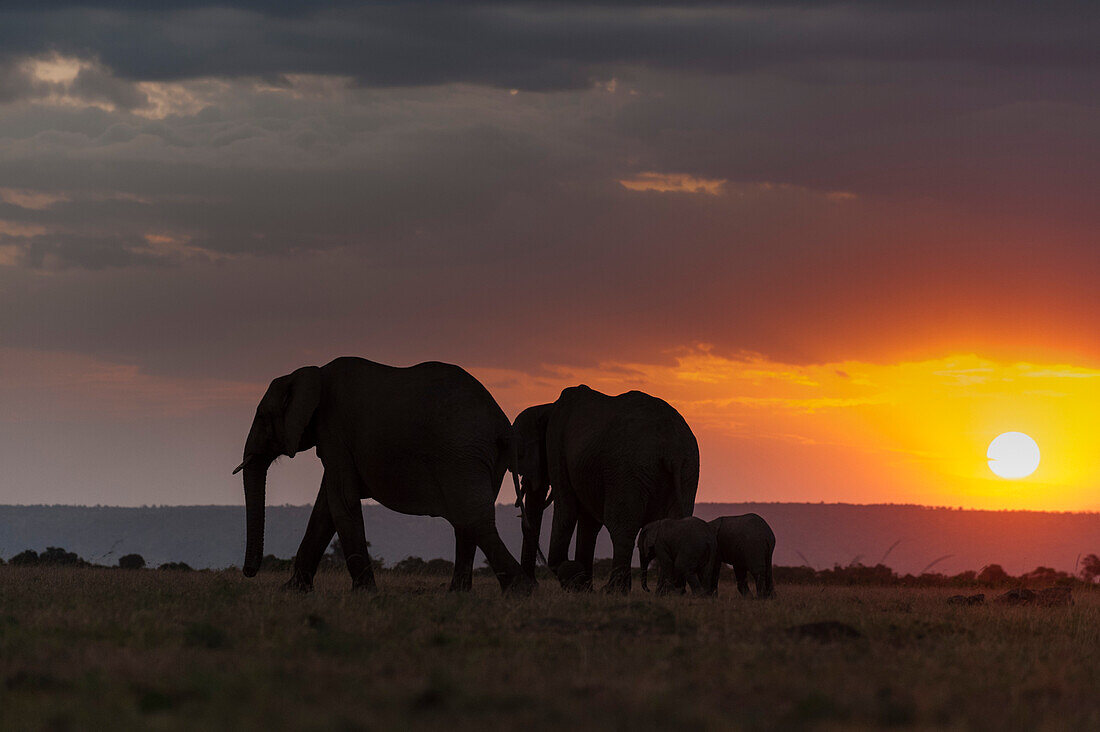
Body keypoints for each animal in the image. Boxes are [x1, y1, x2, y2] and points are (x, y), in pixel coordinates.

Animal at [235, 358, 532, 594]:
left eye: (262, 416)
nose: (248, 573)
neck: (311, 373)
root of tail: (503, 425)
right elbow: (324, 508)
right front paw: (292, 591)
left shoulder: (334, 430)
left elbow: (341, 501)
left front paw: (364, 593)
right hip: (483, 458)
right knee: (467, 521)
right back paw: (459, 594)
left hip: (461, 453)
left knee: (472, 517)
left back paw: (520, 591)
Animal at [512, 385, 695, 590]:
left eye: (520, 454)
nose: (532, 583)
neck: (547, 407)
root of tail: (672, 448)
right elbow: (589, 522)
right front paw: (583, 587)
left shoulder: (556, 447)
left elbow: (566, 511)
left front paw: (573, 577)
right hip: (687, 470)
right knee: (670, 528)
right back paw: (668, 592)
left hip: (628, 470)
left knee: (621, 527)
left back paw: (613, 590)